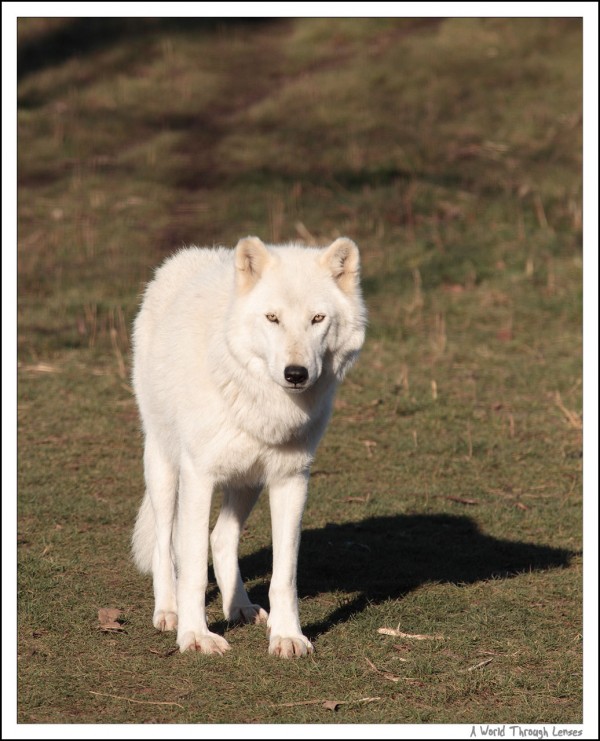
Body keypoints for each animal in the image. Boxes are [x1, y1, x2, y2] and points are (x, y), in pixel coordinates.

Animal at [131, 234, 366, 656]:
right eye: (272, 318)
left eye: (317, 319)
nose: (296, 373)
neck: (263, 401)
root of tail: (188, 256)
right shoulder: (199, 475)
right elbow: (192, 567)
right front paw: (195, 636)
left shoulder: (291, 479)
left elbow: (284, 575)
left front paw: (287, 636)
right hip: (164, 466)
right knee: (164, 542)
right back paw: (169, 612)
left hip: (248, 481)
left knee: (221, 538)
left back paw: (238, 607)